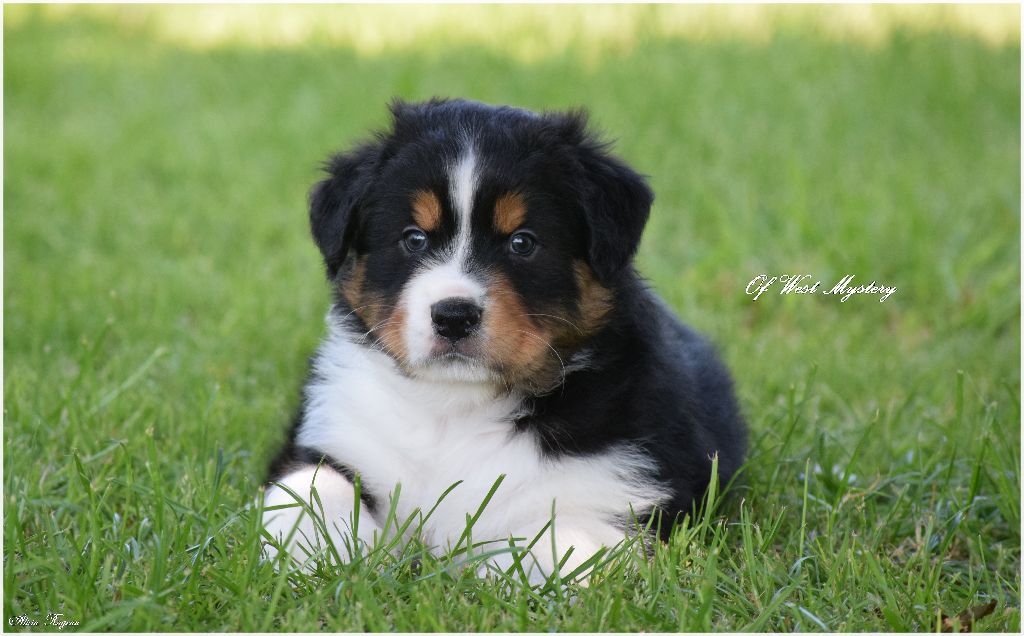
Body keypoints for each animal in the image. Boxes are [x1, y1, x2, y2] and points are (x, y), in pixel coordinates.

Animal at [261, 98, 746, 582]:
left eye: (522, 243)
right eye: (413, 238)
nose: (453, 316)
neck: (455, 408)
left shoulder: (618, 492)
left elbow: (553, 543)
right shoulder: (337, 429)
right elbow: (310, 487)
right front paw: (323, 557)